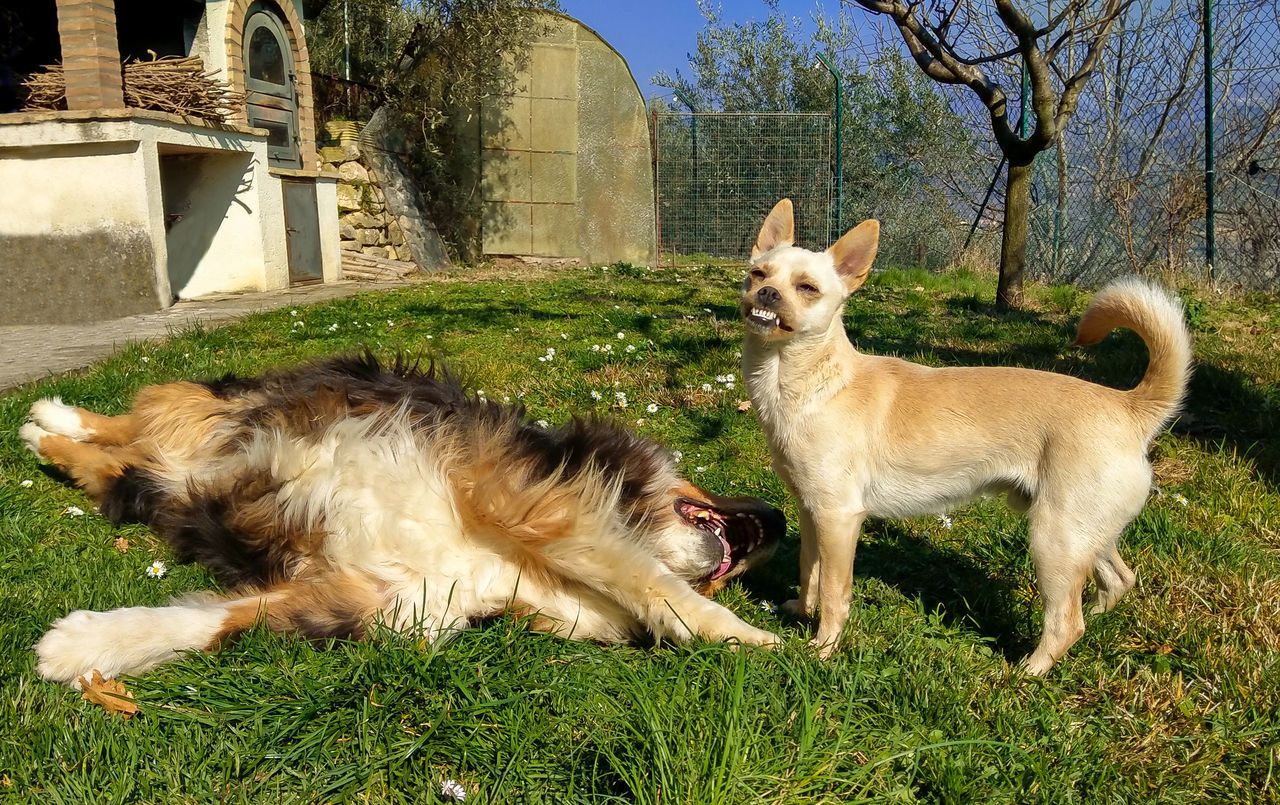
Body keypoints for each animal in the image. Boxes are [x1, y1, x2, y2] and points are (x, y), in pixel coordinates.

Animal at [17, 350, 778, 685]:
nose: (777, 520)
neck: (512, 560)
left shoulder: (378, 595)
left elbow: (219, 622)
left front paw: (83, 646)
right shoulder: (533, 501)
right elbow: (652, 582)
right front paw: (750, 637)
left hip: (160, 481)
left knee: (120, 459)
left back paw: (48, 435)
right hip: (235, 410)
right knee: (143, 415)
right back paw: (52, 416)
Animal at [737, 199, 1192, 670]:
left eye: (807, 288)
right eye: (758, 273)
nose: (767, 293)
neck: (803, 383)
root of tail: (1129, 407)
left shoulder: (838, 517)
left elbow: (833, 591)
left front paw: (824, 647)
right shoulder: (812, 512)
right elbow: (808, 570)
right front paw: (799, 611)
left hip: (1054, 540)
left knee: (1067, 621)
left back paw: (1028, 671)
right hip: (1086, 534)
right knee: (1118, 580)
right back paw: (1098, 624)